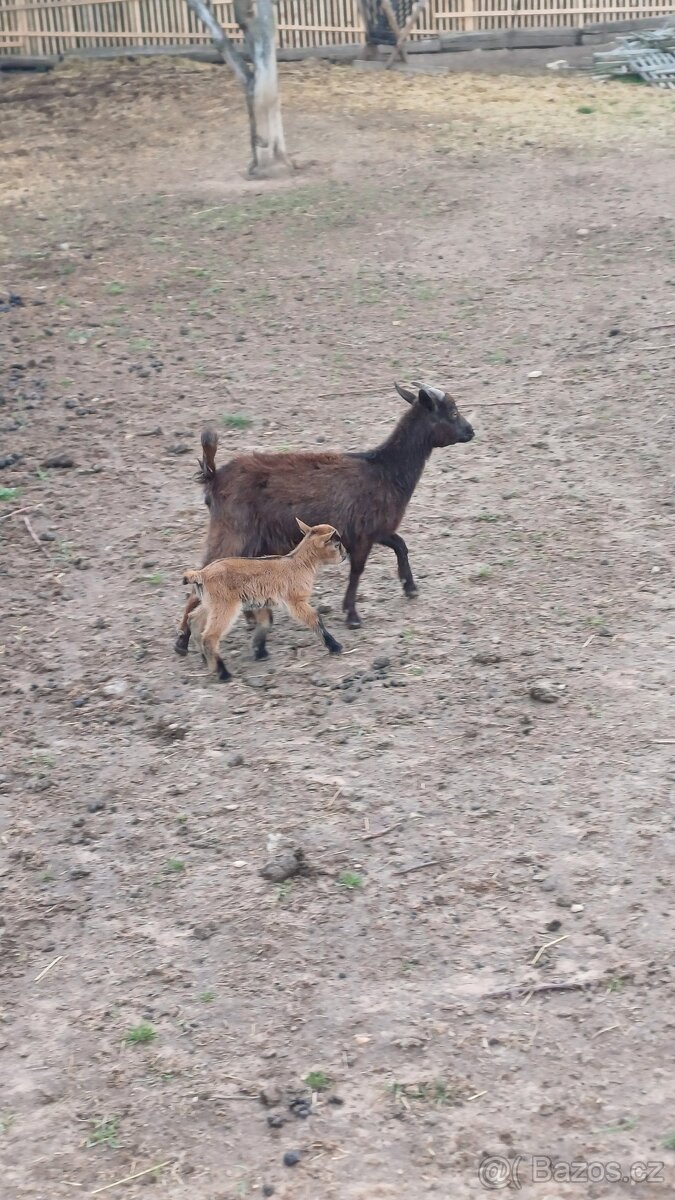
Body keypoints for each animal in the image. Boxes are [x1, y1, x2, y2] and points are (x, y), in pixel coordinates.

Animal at [174, 379, 473, 657]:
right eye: (453, 412)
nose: (471, 431)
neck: (385, 471)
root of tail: (214, 477)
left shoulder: (375, 530)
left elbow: (400, 545)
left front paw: (410, 588)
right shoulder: (363, 533)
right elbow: (358, 570)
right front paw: (352, 615)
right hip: (232, 533)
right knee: (201, 577)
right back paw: (182, 641)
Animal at [181, 518, 343, 681]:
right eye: (337, 545)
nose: (344, 556)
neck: (299, 564)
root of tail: (201, 574)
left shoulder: (259, 602)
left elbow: (265, 622)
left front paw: (260, 652)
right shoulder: (296, 601)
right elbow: (314, 617)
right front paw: (334, 646)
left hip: (210, 603)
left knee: (194, 619)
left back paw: (206, 659)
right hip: (225, 605)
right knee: (209, 636)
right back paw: (223, 673)